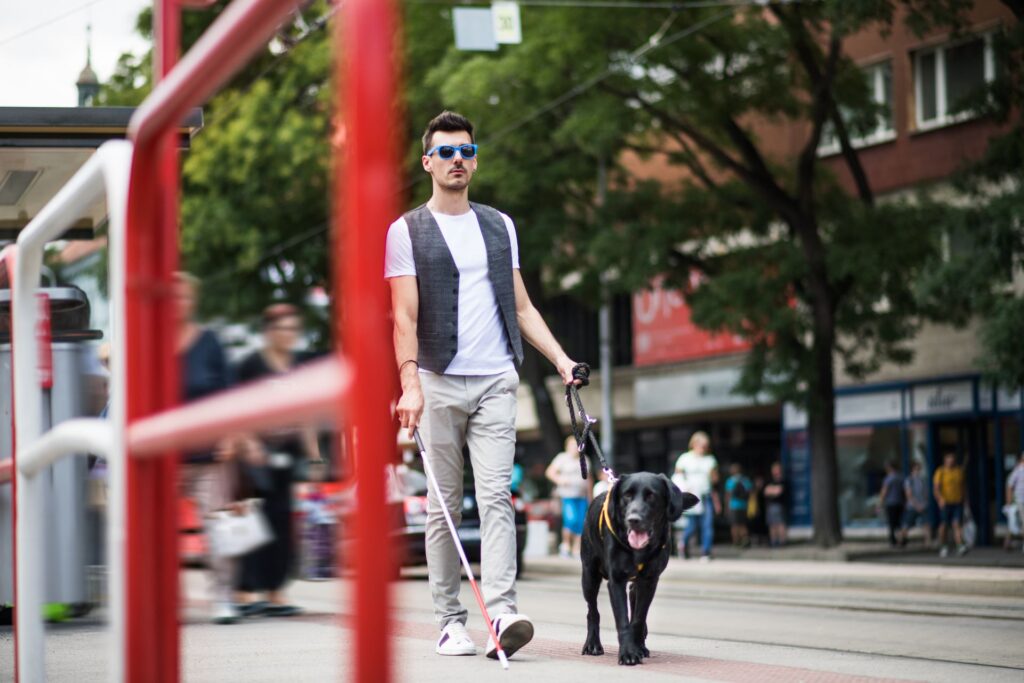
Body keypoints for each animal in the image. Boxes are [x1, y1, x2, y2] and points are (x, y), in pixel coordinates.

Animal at [581, 473, 700, 663]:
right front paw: (628, 653)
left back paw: (640, 645)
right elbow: (622, 620)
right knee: (592, 611)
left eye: (651, 496)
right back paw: (592, 644)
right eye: (627, 495)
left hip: (634, 585)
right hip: (589, 576)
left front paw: (635, 647)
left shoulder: (649, 581)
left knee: (635, 605)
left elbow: (638, 618)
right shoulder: (616, 581)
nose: (633, 519)